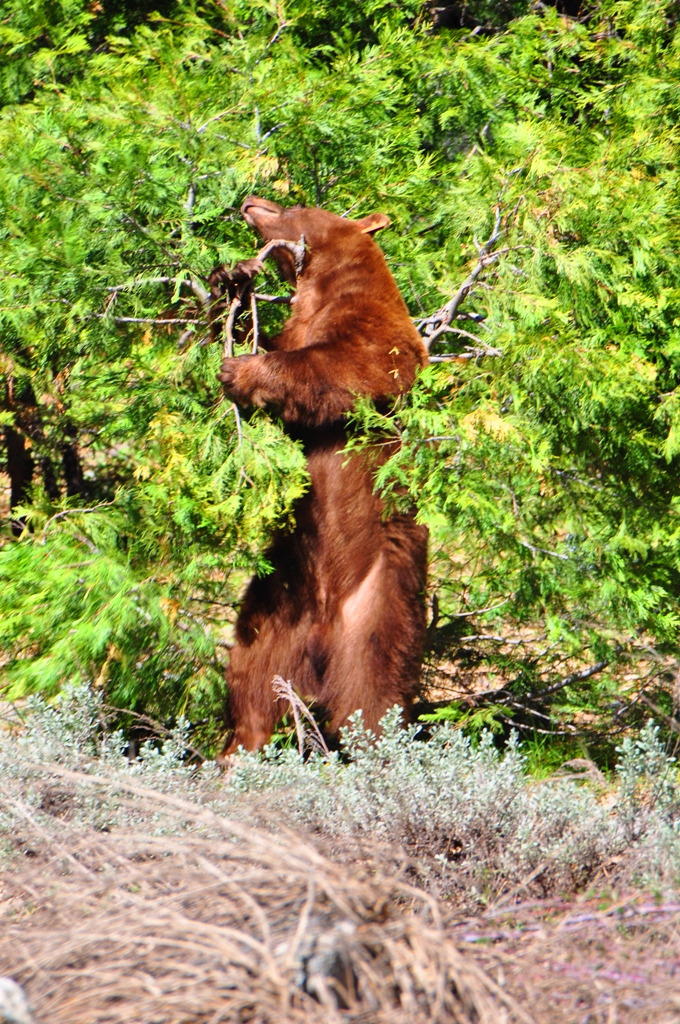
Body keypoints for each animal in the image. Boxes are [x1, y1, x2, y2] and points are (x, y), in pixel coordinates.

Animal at [215, 195, 428, 753]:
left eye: (296, 204)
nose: (250, 200)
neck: (320, 292)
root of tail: (320, 640)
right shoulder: (299, 325)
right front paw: (231, 278)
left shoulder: (381, 336)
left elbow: (344, 366)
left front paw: (242, 370)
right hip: (276, 601)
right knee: (250, 676)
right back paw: (238, 749)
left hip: (378, 612)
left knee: (375, 702)